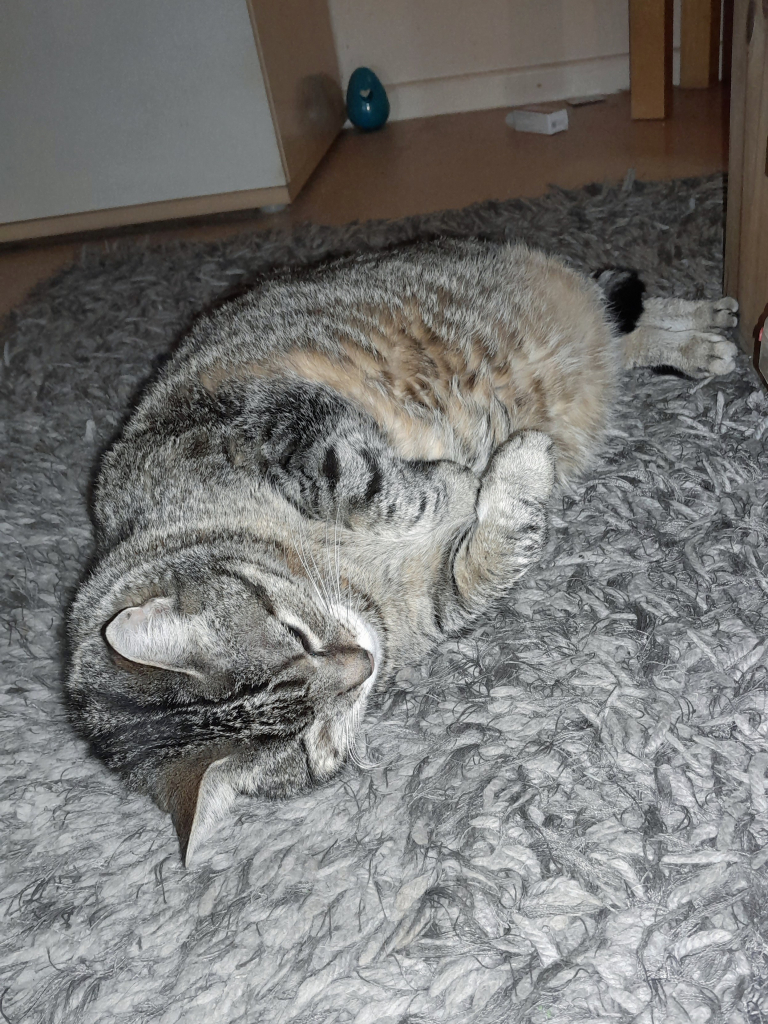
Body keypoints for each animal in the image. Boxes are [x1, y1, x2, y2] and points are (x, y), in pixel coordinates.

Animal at [66, 241, 741, 864]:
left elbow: (378, 488)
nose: (362, 663)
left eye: (295, 633)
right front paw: (499, 478)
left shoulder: (283, 425)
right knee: (618, 327)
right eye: (312, 738)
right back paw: (697, 340)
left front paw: (465, 478)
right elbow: (490, 554)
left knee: (610, 296)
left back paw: (703, 322)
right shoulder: (439, 597)